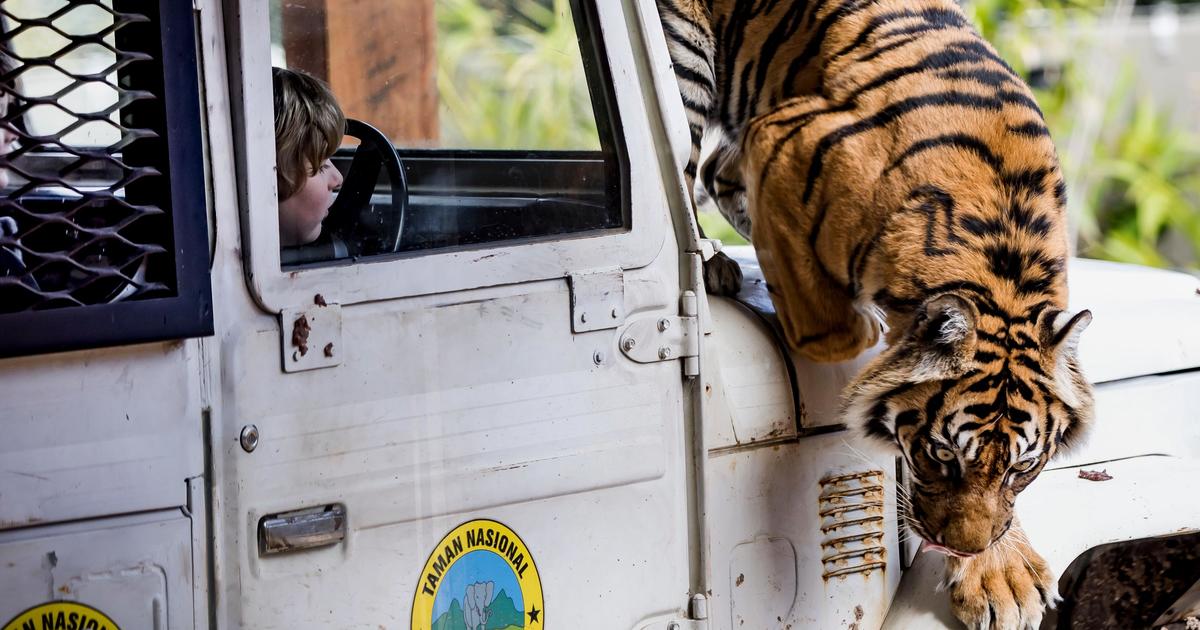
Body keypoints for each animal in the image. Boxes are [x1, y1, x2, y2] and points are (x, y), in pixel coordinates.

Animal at [657, 1, 1099, 628]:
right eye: (943, 455)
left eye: (1021, 469)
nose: (964, 549)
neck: (1001, 269)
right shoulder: (782, 132)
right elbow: (838, 334)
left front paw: (1000, 574)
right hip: (685, 62)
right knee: (690, 165)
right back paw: (715, 263)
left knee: (715, 169)